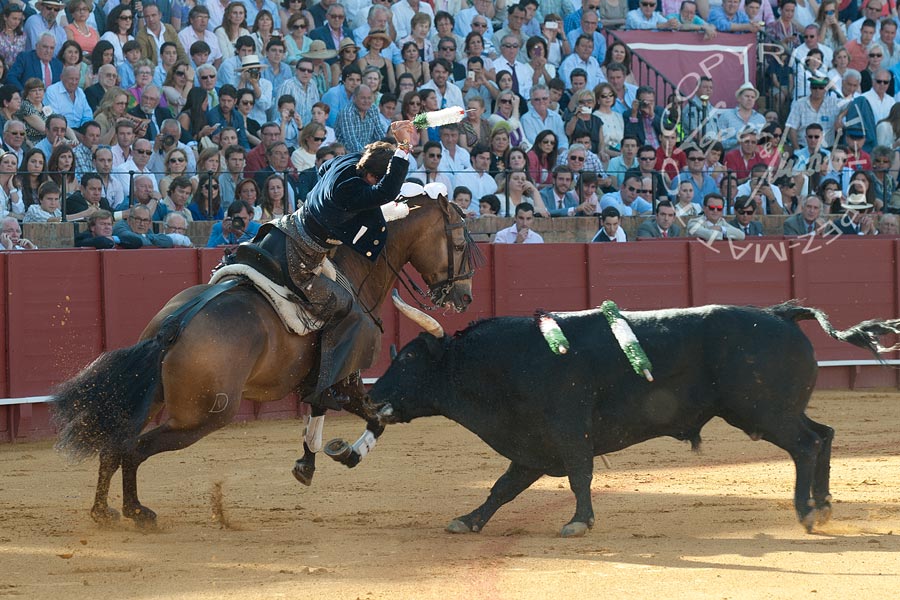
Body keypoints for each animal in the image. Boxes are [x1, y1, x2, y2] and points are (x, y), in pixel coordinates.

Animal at [50, 195, 478, 528]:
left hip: (149, 398)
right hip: (203, 417)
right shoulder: (347, 377)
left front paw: (307, 466)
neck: (353, 270)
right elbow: (376, 417)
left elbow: (322, 413)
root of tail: (174, 326)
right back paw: (137, 512)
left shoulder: (326, 379)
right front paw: (346, 454)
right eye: (458, 243)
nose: (464, 297)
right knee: (135, 449)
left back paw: (103, 512)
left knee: (114, 444)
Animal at [352, 292, 900, 536]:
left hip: (762, 412)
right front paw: (467, 521)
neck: (507, 359)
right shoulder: (531, 445)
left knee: (807, 444)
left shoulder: (568, 431)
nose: (370, 398)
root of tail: (780, 313)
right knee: (824, 434)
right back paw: (824, 505)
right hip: (775, 410)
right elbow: (502, 488)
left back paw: (807, 512)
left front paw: (579, 523)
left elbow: (579, 476)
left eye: (407, 359)